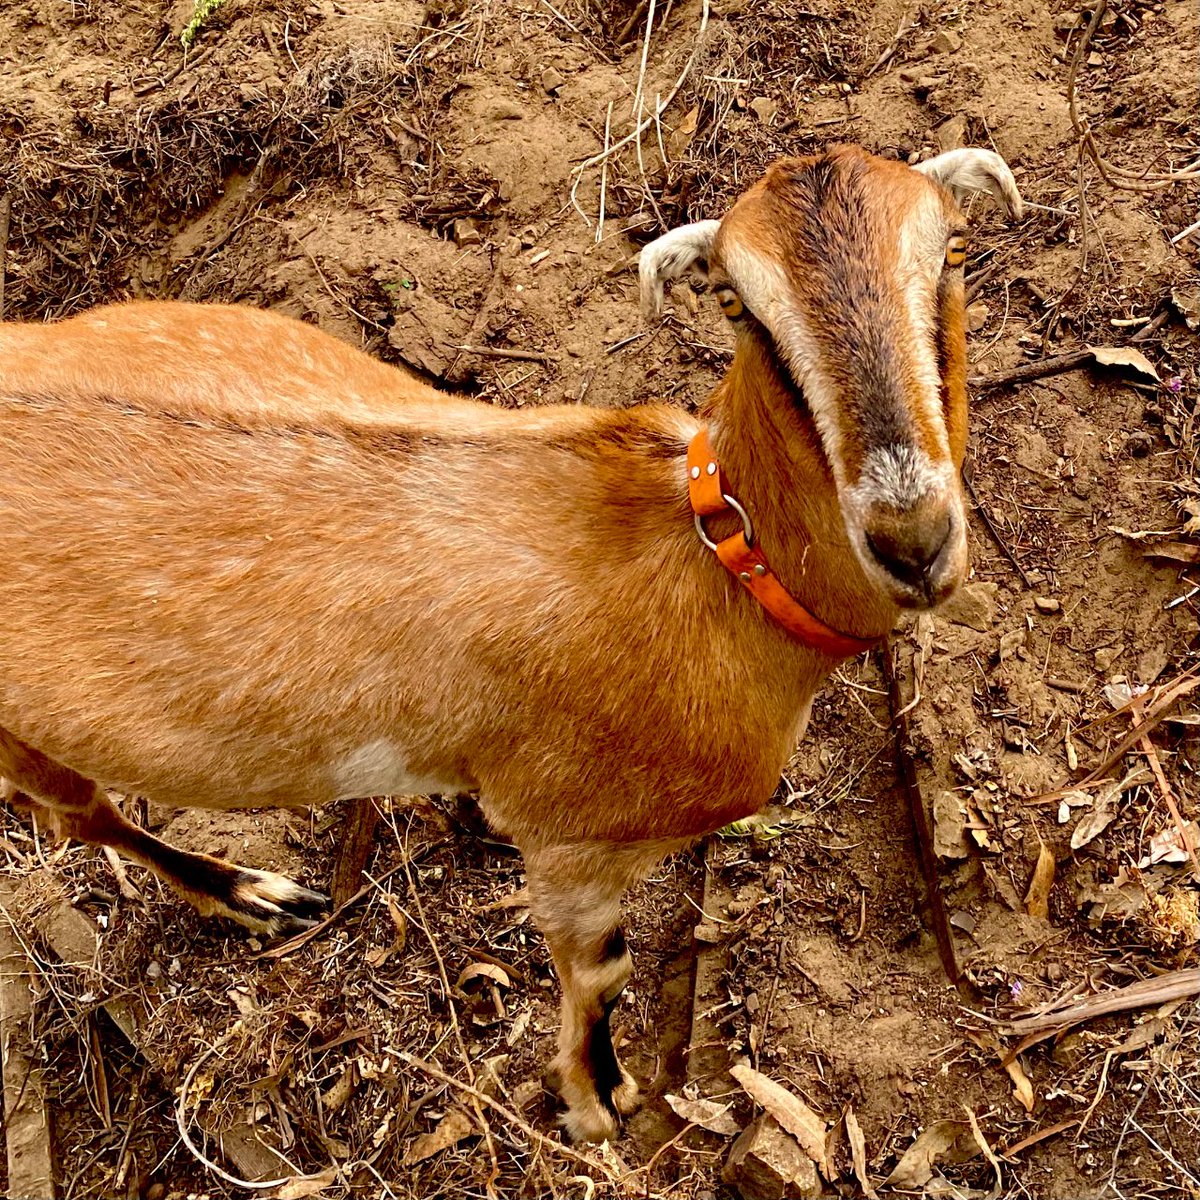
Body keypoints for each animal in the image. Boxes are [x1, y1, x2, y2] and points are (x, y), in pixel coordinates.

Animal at [0, 144, 1021, 1144]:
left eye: (955, 250)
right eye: (738, 303)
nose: (913, 540)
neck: (714, 563)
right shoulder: (575, 838)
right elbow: (600, 972)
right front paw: (598, 1100)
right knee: (74, 815)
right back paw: (249, 892)